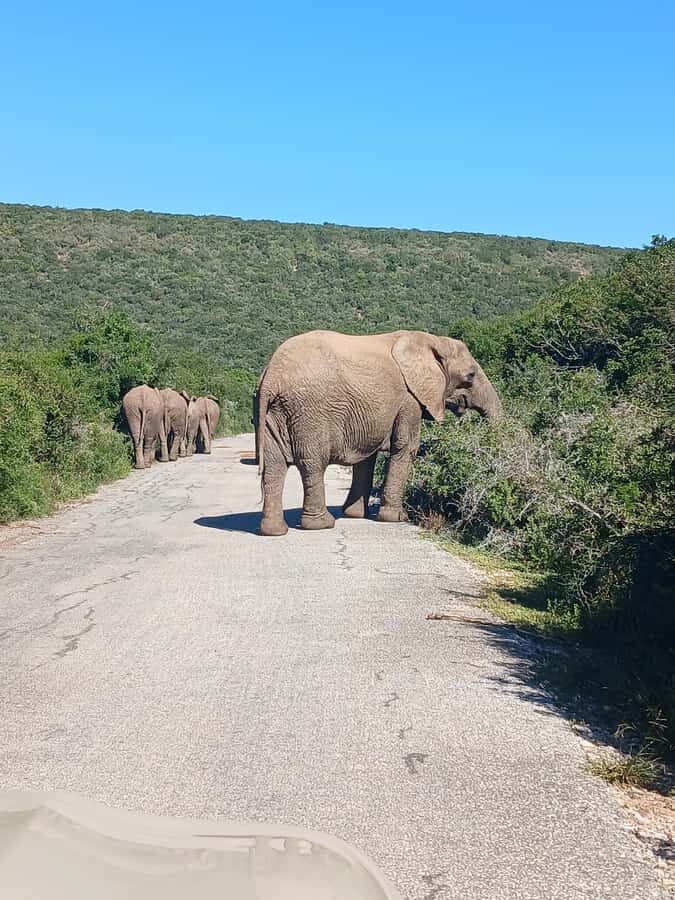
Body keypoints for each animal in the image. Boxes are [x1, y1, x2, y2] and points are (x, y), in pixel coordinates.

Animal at [254, 330, 502, 536]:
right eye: (470, 376)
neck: (432, 340)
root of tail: (272, 375)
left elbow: (366, 456)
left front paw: (354, 515)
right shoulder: (409, 399)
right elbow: (406, 447)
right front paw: (397, 518)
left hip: (273, 413)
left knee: (274, 466)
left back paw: (274, 531)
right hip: (309, 412)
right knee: (312, 463)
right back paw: (322, 524)